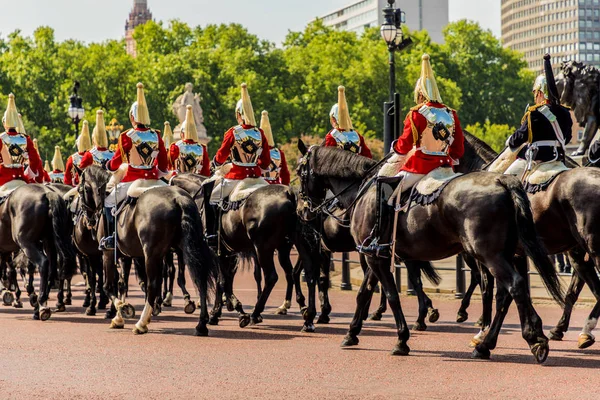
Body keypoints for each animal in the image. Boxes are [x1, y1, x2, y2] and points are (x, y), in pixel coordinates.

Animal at [0, 183, 77, 320]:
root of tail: (47, 193)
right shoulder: (6, 251)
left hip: (27, 243)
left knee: (43, 263)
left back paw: (41, 303)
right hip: (50, 242)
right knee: (54, 268)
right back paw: (43, 304)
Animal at [79, 165, 218, 334]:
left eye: (80, 190)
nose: (88, 220)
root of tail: (179, 198)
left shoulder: (109, 253)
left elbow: (109, 286)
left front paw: (123, 308)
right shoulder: (129, 256)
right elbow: (124, 283)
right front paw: (119, 317)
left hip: (153, 254)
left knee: (154, 284)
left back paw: (141, 323)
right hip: (186, 249)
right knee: (200, 280)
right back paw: (201, 324)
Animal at [298, 142, 564, 360]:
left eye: (301, 173)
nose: (302, 211)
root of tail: (503, 180)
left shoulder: (373, 256)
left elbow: (392, 295)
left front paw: (402, 339)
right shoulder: (376, 255)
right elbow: (364, 293)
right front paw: (352, 333)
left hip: (489, 255)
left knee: (514, 286)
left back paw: (529, 339)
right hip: (503, 254)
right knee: (504, 293)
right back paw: (489, 344)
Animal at [460, 130, 600, 346]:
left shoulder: (491, 257)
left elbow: (490, 290)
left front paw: (483, 332)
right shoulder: (516, 254)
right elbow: (516, 291)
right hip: (579, 252)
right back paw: (571, 330)